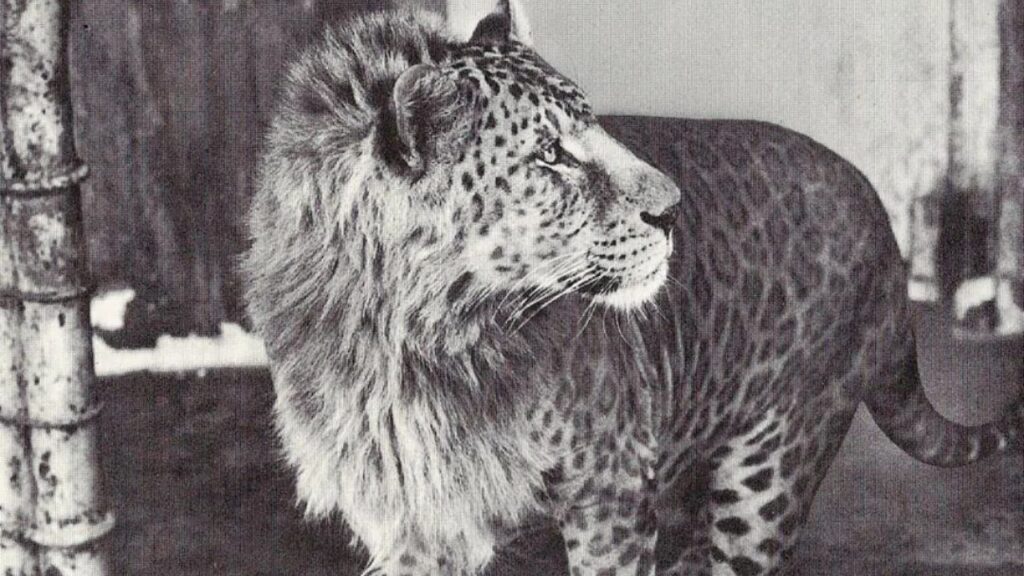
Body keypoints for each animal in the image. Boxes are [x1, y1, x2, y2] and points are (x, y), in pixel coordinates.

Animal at [242, 2, 1024, 575]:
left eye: (593, 126)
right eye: (551, 155)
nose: (674, 210)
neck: (424, 344)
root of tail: (883, 217)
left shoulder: (609, 489)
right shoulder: (410, 519)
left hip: (769, 472)